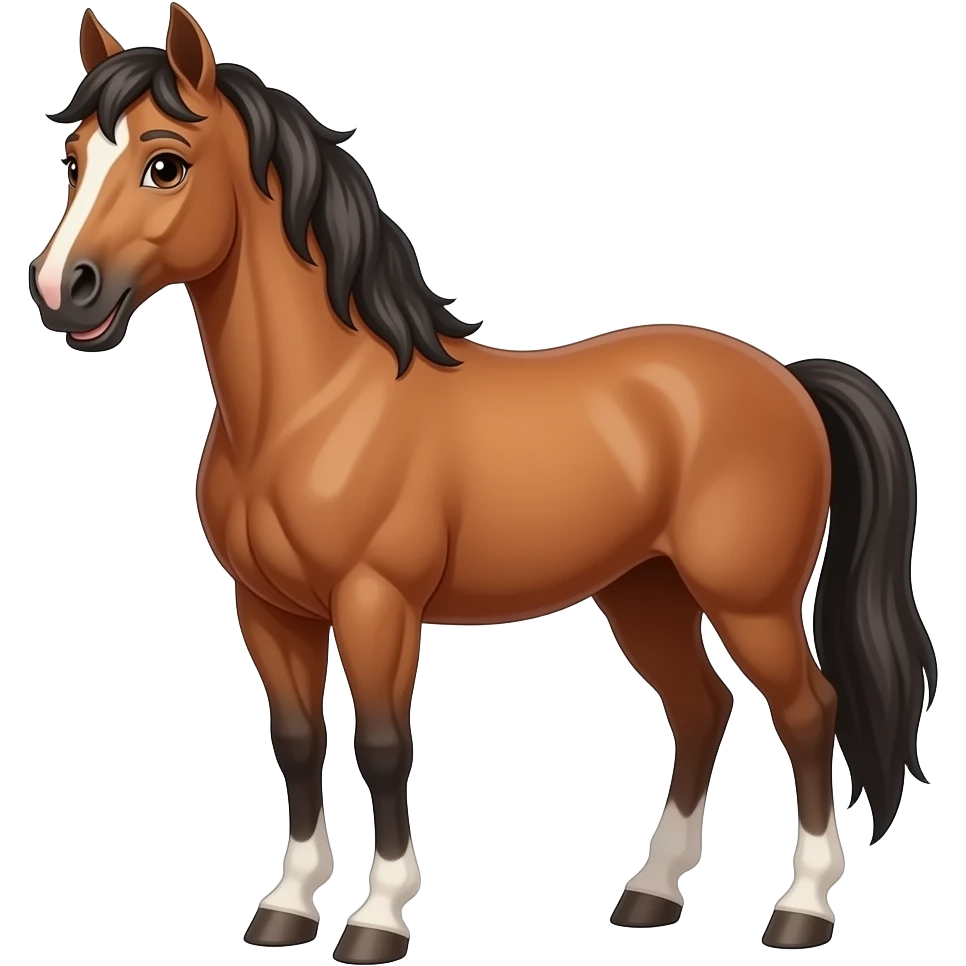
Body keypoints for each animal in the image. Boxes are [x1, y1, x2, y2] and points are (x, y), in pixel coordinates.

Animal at [29, 4, 937, 959]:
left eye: (165, 163)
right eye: (74, 159)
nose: (61, 289)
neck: (317, 405)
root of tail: (789, 381)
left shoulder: (375, 603)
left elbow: (383, 746)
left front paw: (378, 919)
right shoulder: (269, 609)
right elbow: (299, 741)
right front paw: (287, 906)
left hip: (748, 601)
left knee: (809, 713)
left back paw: (802, 908)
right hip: (646, 592)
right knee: (702, 709)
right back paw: (651, 893)